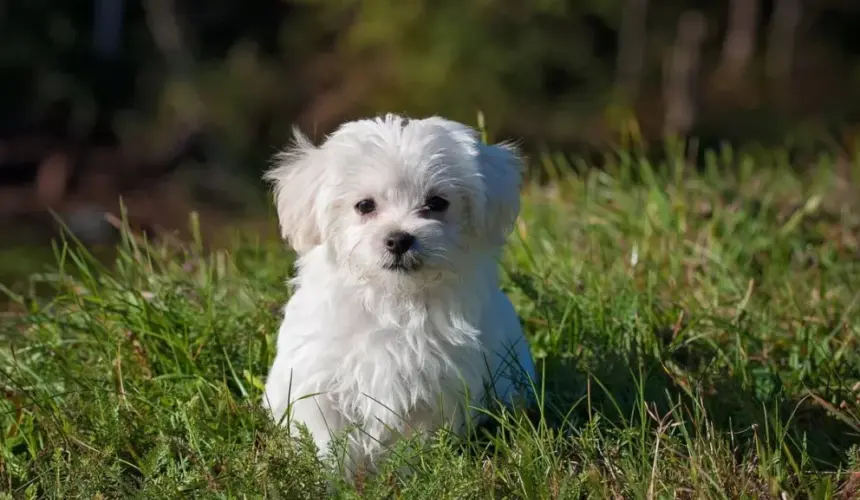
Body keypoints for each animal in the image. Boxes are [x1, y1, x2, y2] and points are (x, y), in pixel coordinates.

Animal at [258, 113, 536, 476]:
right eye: (364, 206)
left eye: (437, 203)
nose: (399, 239)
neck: (394, 299)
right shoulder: (318, 382)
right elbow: (326, 439)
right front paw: (332, 478)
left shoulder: (439, 387)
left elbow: (418, 439)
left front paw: (410, 473)